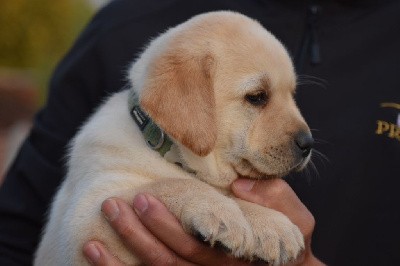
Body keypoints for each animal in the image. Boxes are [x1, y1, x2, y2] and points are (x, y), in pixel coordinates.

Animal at [34, 10, 314, 266]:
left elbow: (229, 195)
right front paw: (222, 211)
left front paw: (271, 224)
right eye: (257, 97)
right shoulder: (83, 227)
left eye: (292, 94)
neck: (169, 154)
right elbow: (168, 184)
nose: (308, 144)